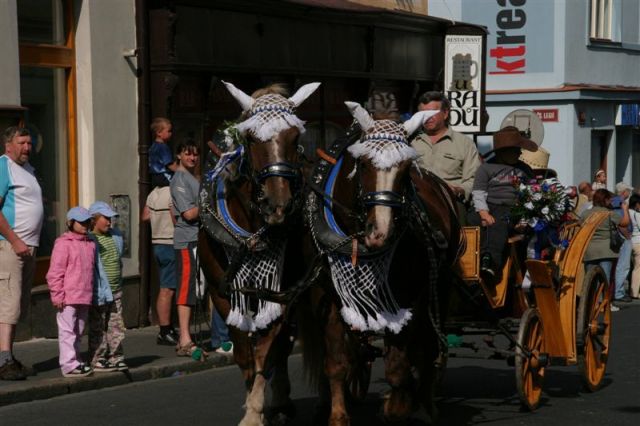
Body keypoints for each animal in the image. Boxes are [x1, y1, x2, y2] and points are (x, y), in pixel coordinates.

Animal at [198, 80, 320, 426]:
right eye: (251, 137)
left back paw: (281, 400)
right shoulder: (221, 291)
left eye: (295, 138)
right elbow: (244, 354)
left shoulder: (281, 294)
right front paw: (254, 403)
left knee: (284, 343)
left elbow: (267, 350)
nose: (277, 205)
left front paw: (256, 411)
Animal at [300, 101, 460, 424]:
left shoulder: (406, 299)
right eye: (362, 164)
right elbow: (336, 362)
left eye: (407, 169)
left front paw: (396, 407)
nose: (380, 233)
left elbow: (399, 367)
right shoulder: (328, 297)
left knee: (429, 348)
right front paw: (338, 415)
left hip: (440, 287)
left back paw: (426, 405)